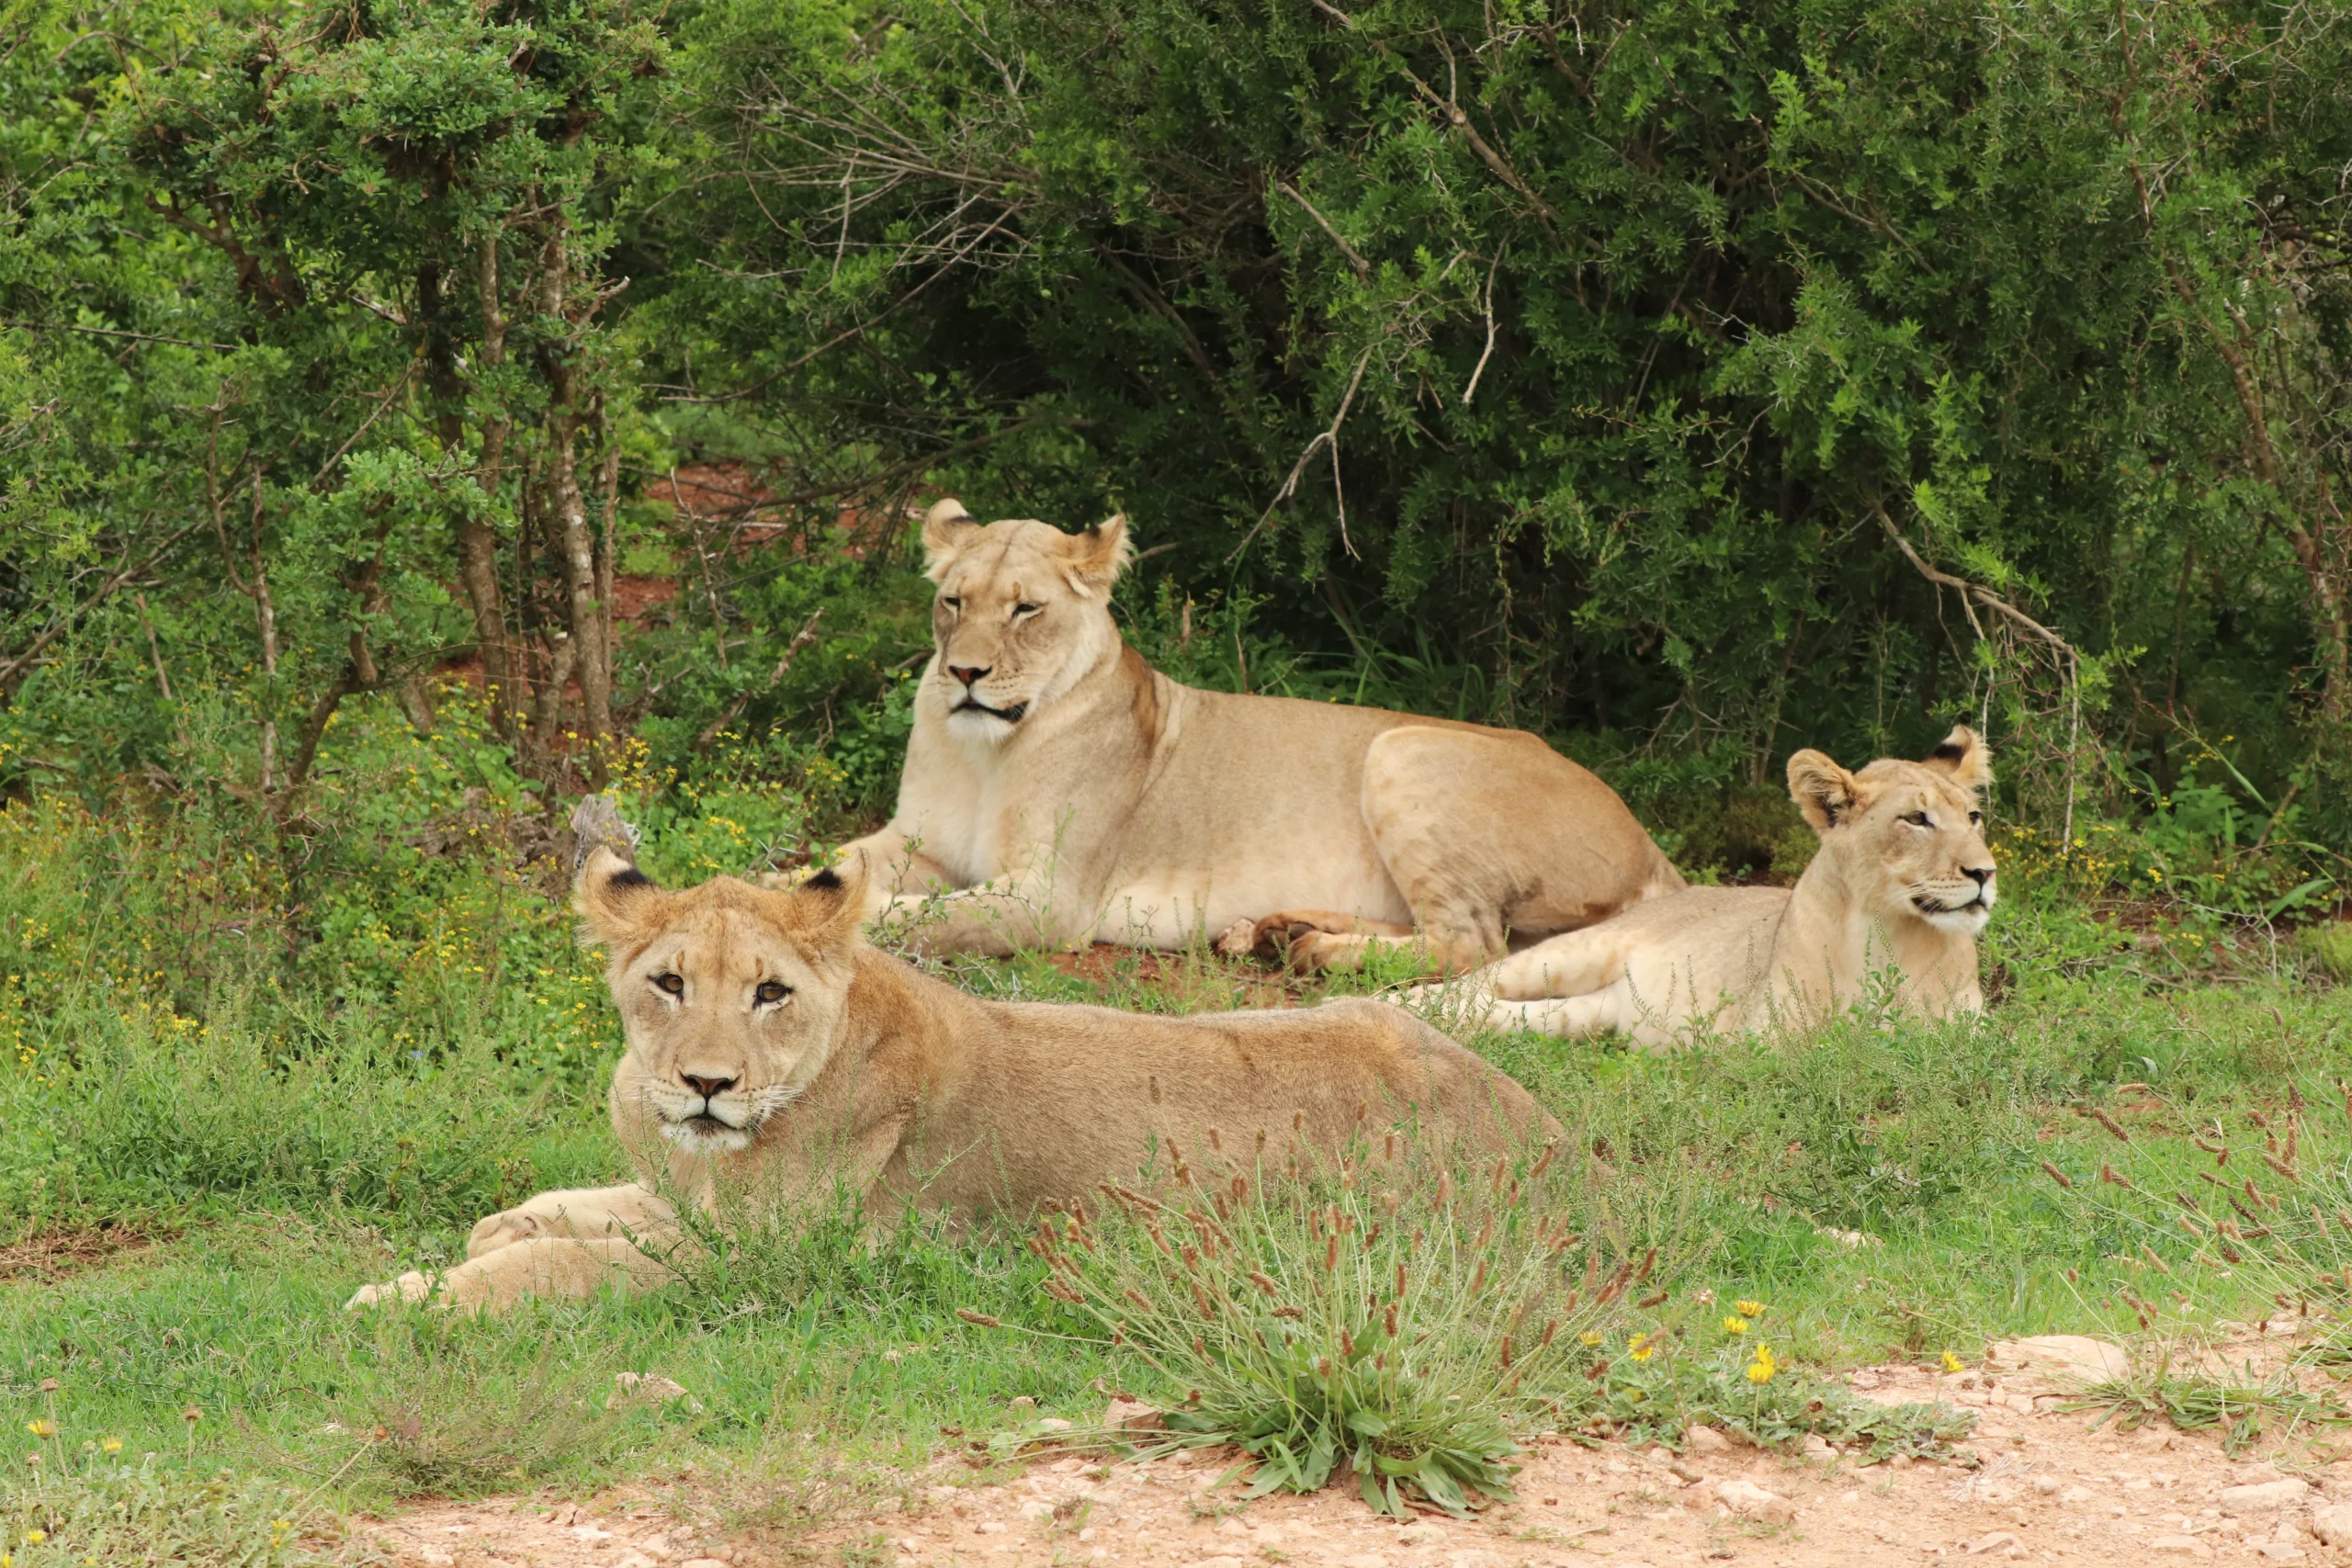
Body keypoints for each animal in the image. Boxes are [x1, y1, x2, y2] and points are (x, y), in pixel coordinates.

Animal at [348, 817, 1555, 1313]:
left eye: (770, 993)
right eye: (670, 984)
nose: (706, 1084)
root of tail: (1546, 1132)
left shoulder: (774, 1259)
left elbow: (578, 1263)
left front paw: (416, 1293)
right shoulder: (697, 1200)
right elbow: (596, 1208)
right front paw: (506, 1222)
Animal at [833, 499, 1682, 973]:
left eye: (1025, 609)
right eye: (953, 601)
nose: (965, 672)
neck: (986, 751)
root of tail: (1649, 842)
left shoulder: (1050, 896)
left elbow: (910, 913)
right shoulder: (919, 840)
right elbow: (840, 866)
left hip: (1402, 748)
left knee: (1471, 942)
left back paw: (1318, 952)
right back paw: (1280, 929)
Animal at [1405, 728, 1999, 1048]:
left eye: (1973, 818)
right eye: (1917, 819)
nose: (1985, 874)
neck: (1886, 931)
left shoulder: (1964, 1034)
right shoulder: (1767, 1038)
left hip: (1587, 1015)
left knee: (1510, 1012)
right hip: (1577, 950)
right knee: (1475, 981)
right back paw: (1405, 1007)